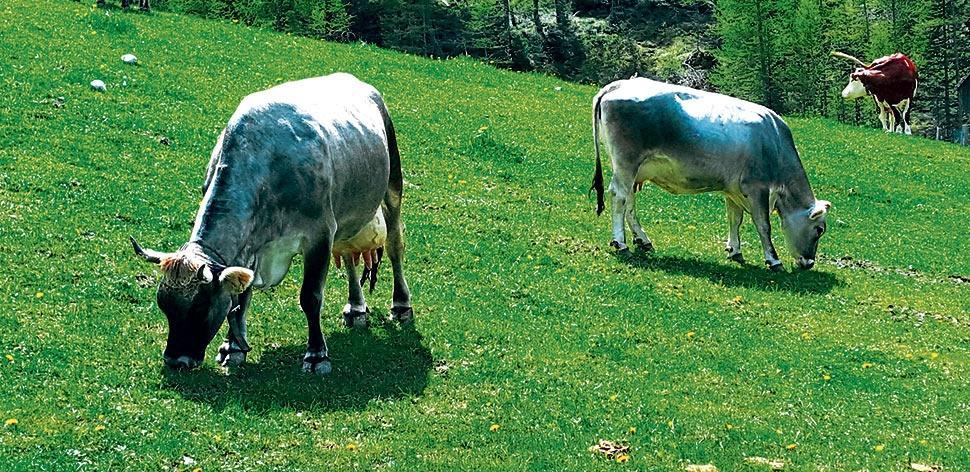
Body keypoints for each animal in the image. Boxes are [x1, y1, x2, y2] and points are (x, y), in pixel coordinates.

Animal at [130, 73, 413, 374]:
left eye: (199, 308)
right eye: (164, 306)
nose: (175, 360)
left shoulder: (320, 234)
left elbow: (310, 297)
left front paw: (316, 355)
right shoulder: (252, 248)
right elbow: (240, 297)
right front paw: (233, 347)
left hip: (392, 182)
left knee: (395, 245)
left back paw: (401, 305)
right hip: (347, 214)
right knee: (349, 256)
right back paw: (356, 307)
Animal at [590, 78, 831, 271]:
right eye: (819, 230)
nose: (809, 263)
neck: (775, 142)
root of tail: (618, 84)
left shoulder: (733, 190)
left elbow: (735, 219)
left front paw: (735, 250)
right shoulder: (757, 188)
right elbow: (763, 225)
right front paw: (773, 259)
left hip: (632, 170)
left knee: (630, 203)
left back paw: (642, 239)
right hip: (626, 163)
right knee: (619, 197)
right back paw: (620, 243)